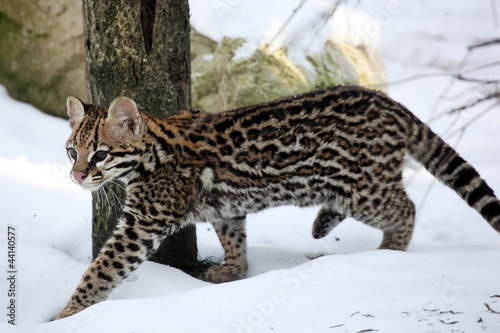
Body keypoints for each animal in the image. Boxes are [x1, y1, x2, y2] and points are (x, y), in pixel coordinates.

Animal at [54, 86, 500, 320]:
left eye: (100, 155)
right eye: (71, 151)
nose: (76, 176)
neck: (151, 149)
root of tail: (389, 102)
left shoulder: (143, 222)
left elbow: (103, 268)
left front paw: (69, 314)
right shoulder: (225, 207)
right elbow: (234, 237)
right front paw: (235, 270)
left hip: (365, 188)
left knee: (405, 207)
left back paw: (391, 250)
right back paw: (324, 223)